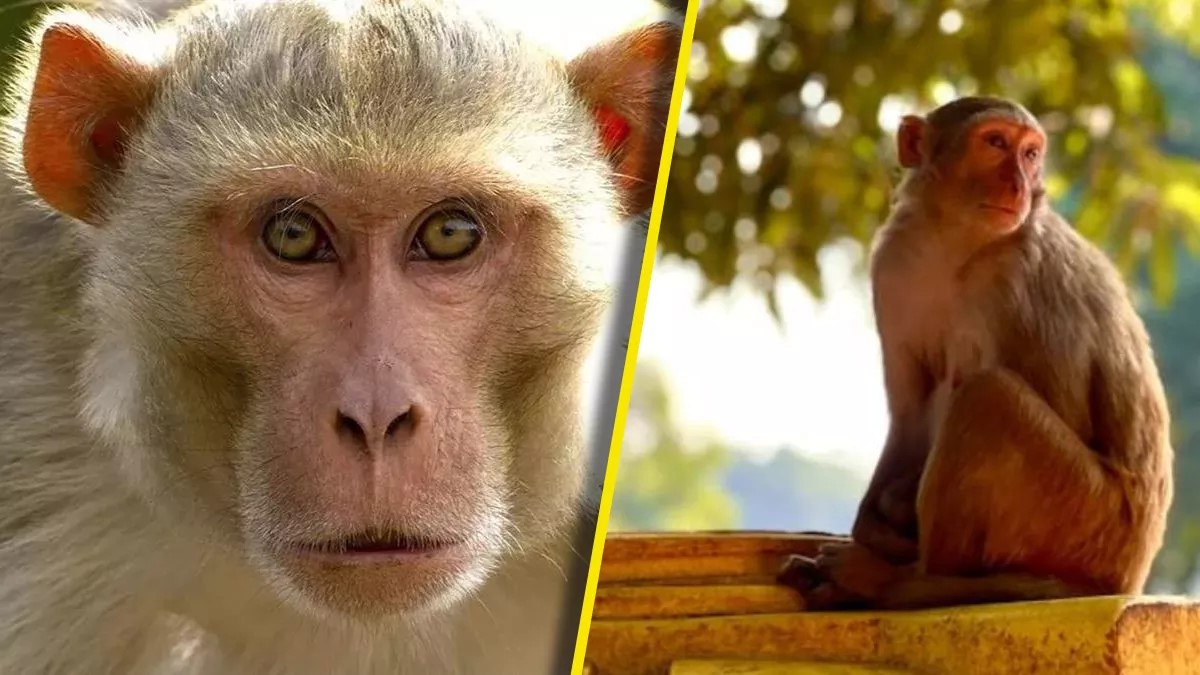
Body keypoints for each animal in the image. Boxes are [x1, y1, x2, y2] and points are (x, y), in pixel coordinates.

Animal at [779, 96, 1174, 611]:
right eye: (996, 142)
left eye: (1030, 153)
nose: (1020, 184)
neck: (957, 241)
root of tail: (1130, 576)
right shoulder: (892, 263)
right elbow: (910, 411)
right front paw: (873, 521)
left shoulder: (1023, 278)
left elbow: (1068, 409)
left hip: (1086, 519)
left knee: (988, 396)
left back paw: (900, 583)